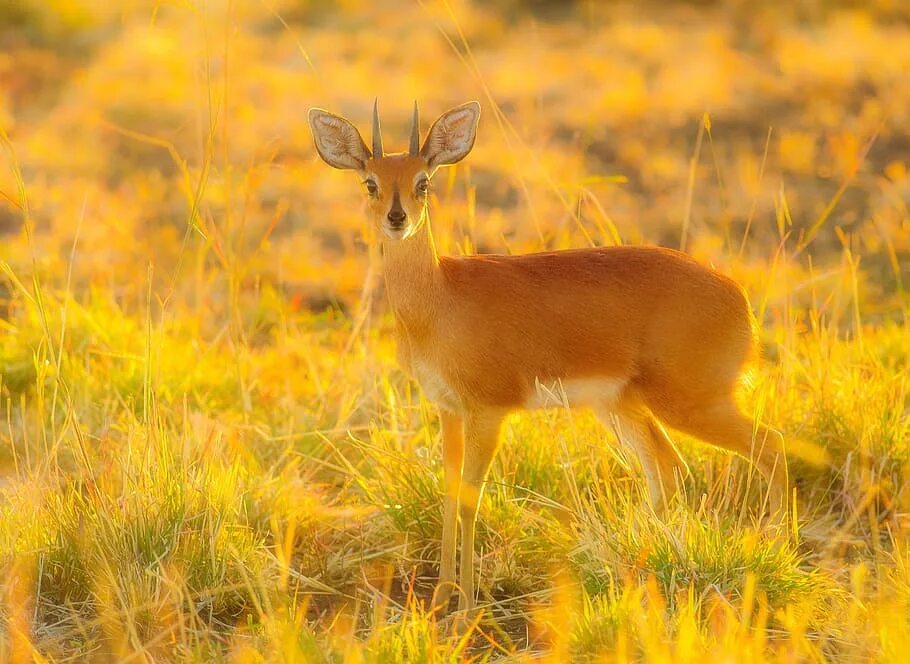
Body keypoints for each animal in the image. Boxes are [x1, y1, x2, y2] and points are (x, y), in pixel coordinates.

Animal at [308, 100, 792, 616]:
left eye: (424, 181)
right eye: (370, 182)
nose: (397, 218)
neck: (438, 300)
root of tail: (740, 298)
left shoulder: (489, 411)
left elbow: (471, 498)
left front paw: (467, 608)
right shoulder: (448, 409)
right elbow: (449, 492)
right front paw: (441, 596)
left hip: (691, 404)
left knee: (771, 445)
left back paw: (777, 547)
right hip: (623, 406)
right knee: (668, 469)